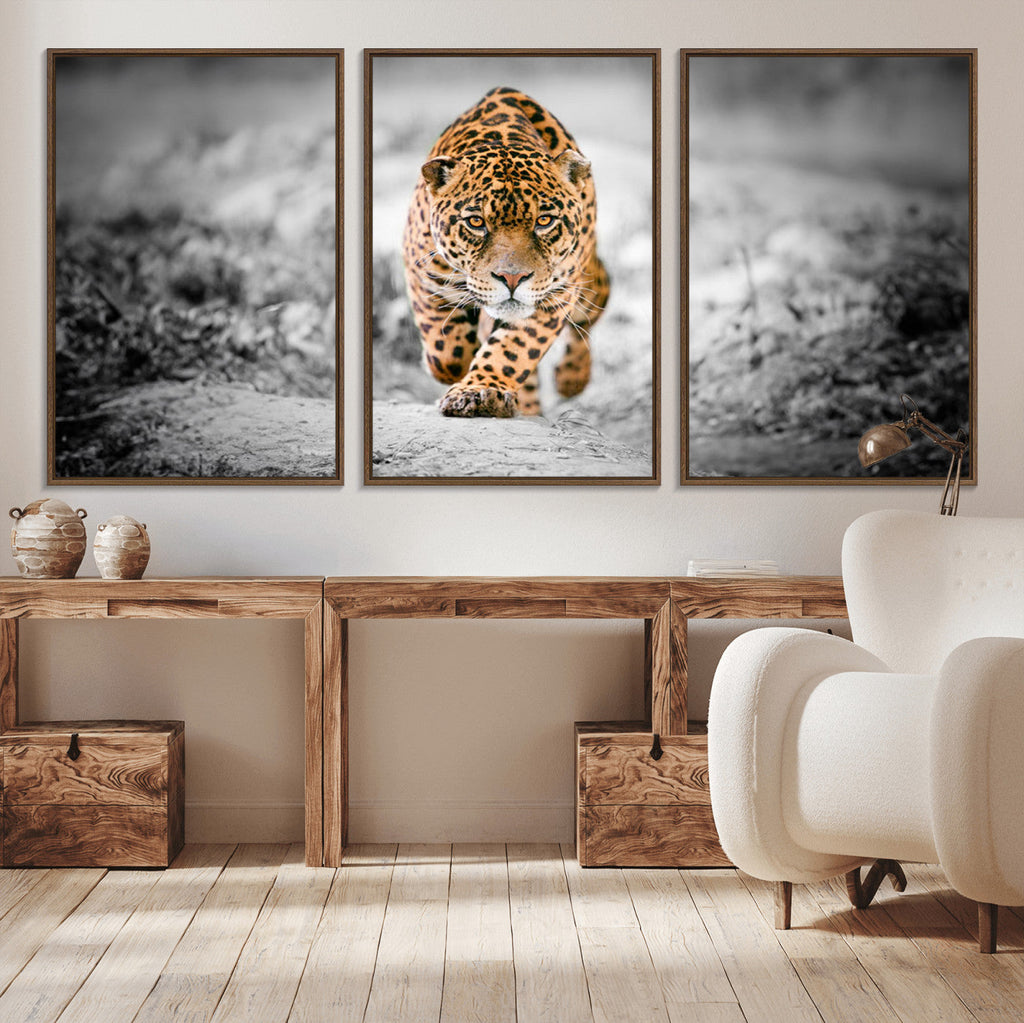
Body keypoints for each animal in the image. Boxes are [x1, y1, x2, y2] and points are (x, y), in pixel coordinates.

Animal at [401, 86, 610, 418]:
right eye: (476, 222)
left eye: (544, 221)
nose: (512, 279)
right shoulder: (425, 274)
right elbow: (446, 351)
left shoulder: (555, 295)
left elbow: (514, 349)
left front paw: (479, 391)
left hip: (586, 284)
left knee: (593, 308)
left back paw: (571, 378)